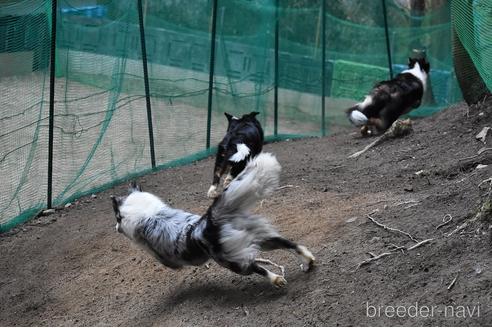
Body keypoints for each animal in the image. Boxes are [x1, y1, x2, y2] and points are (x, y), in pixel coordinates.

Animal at [111, 153, 314, 288]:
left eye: (118, 218)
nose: (115, 227)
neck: (149, 213)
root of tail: (213, 217)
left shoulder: (164, 258)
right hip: (260, 237)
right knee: (290, 244)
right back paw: (308, 261)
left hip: (232, 260)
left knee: (258, 268)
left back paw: (276, 279)